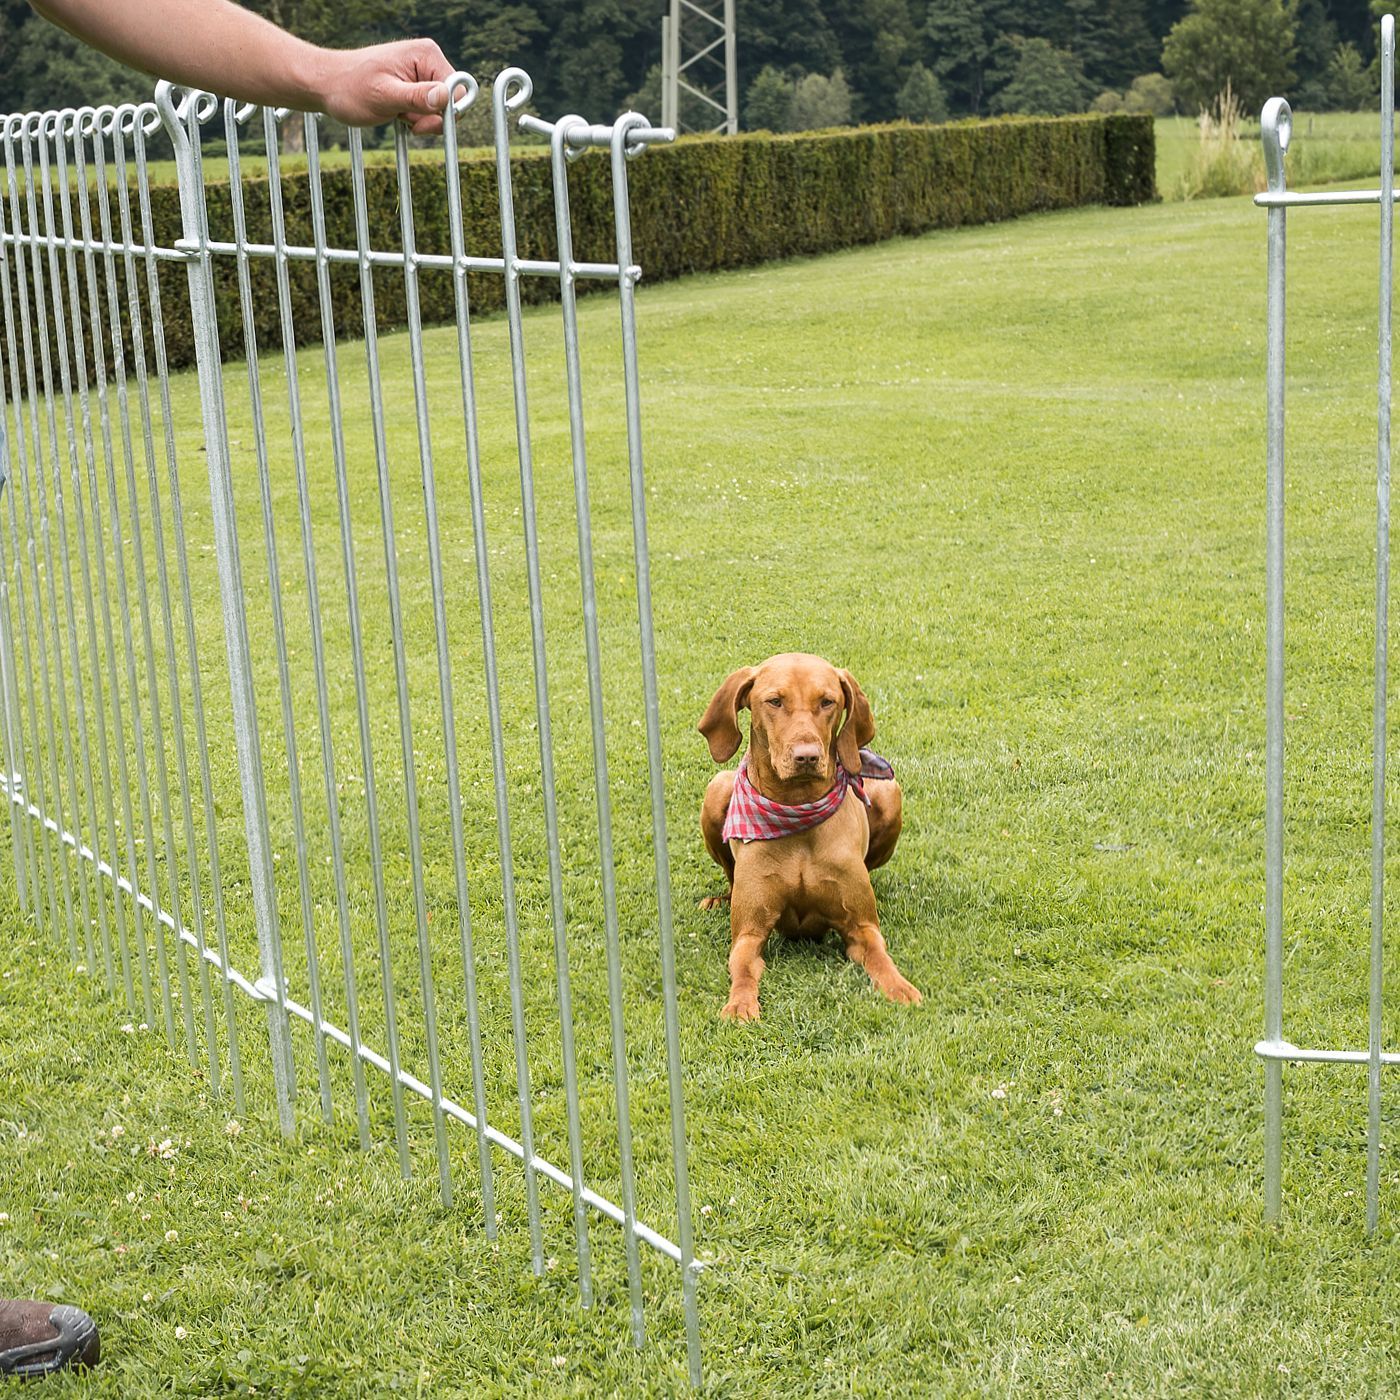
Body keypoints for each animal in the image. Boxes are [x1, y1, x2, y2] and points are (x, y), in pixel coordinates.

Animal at [697, 649, 918, 1024]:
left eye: (827, 702)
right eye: (774, 701)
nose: (807, 757)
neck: (796, 808)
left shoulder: (862, 925)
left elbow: (880, 956)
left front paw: (899, 987)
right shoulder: (749, 933)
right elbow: (742, 968)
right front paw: (740, 1004)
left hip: (891, 793)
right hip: (717, 788)